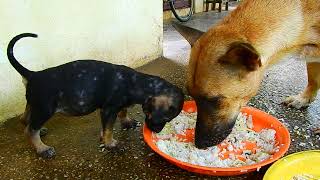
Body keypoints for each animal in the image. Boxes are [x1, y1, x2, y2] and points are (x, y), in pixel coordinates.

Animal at [7, 33, 184, 158]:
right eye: (167, 118)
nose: (157, 132)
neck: (137, 82)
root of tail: (33, 75)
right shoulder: (108, 110)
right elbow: (109, 129)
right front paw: (110, 144)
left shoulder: (114, 108)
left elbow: (120, 114)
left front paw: (125, 123)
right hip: (45, 109)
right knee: (30, 130)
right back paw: (42, 149)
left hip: (35, 105)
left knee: (25, 119)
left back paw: (38, 131)